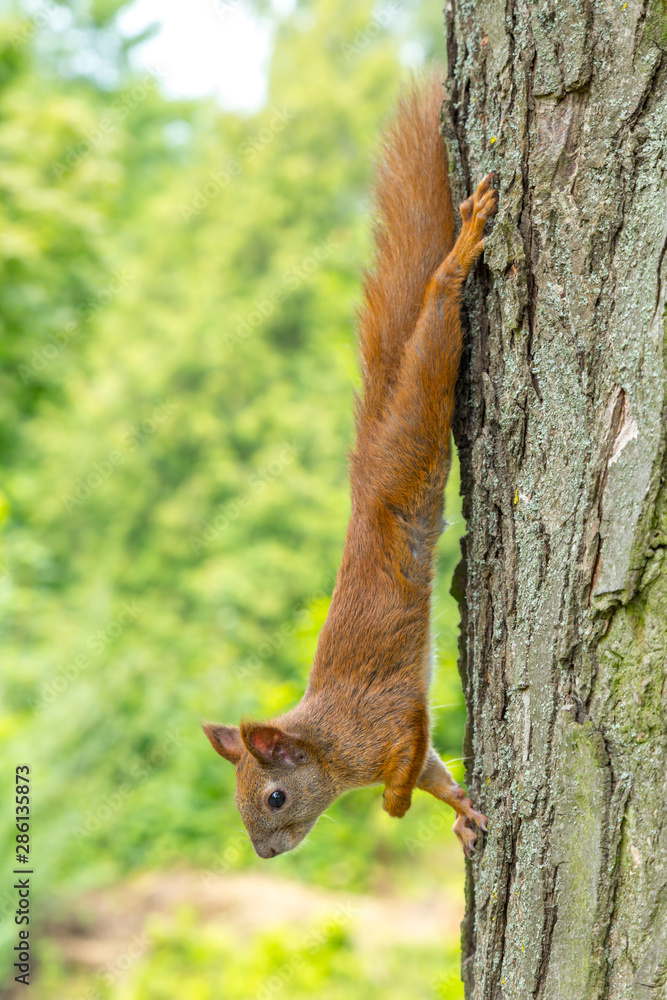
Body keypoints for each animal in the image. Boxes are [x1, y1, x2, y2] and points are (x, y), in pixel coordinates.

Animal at [203, 73, 497, 859]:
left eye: (273, 797)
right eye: (239, 806)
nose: (265, 852)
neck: (332, 747)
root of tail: (365, 482)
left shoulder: (388, 721)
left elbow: (411, 757)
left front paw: (394, 806)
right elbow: (435, 773)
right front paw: (462, 809)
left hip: (415, 430)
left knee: (434, 325)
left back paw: (459, 255)